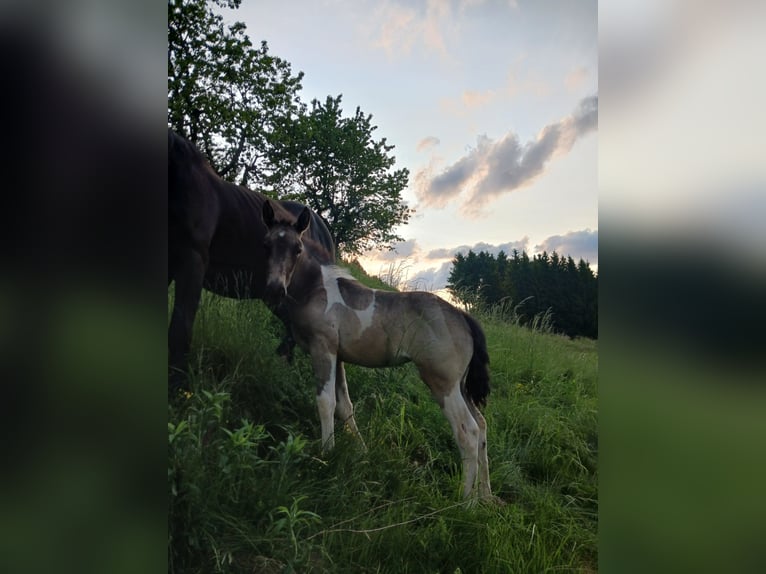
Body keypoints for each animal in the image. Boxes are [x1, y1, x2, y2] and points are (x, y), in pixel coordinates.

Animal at [260, 200, 493, 500]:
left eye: (297, 249)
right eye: (267, 244)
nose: (274, 289)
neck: (316, 291)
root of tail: (463, 317)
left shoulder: (323, 349)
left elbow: (325, 402)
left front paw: (325, 454)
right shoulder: (339, 357)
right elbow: (345, 406)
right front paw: (359, 451)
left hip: (443, 384)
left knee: (468, 432)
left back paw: (465, 501)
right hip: (461, 386)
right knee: (483, 426)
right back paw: (486, 496)